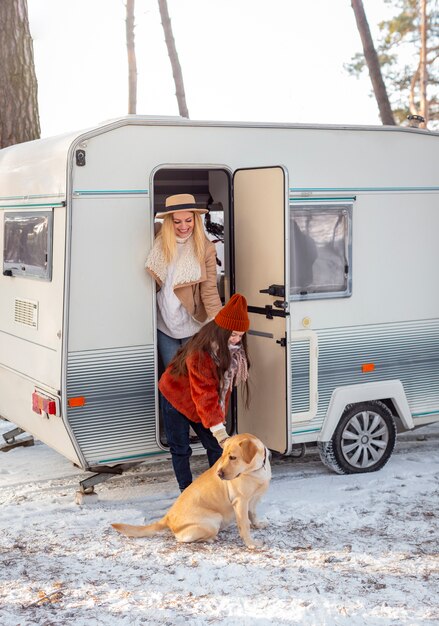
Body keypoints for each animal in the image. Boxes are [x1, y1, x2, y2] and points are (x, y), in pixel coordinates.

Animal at [111, 434, 272, 544]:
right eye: (224, 457)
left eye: (232, 457)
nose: (219, 474)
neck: (256, 470)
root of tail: (168, 517)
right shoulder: (240, 502)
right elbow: (244, 525)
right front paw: (251, 543)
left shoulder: (253, 500)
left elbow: (253, 515)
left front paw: (258, 525)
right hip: (214, 519)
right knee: (183, 539)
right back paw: (211, 538)